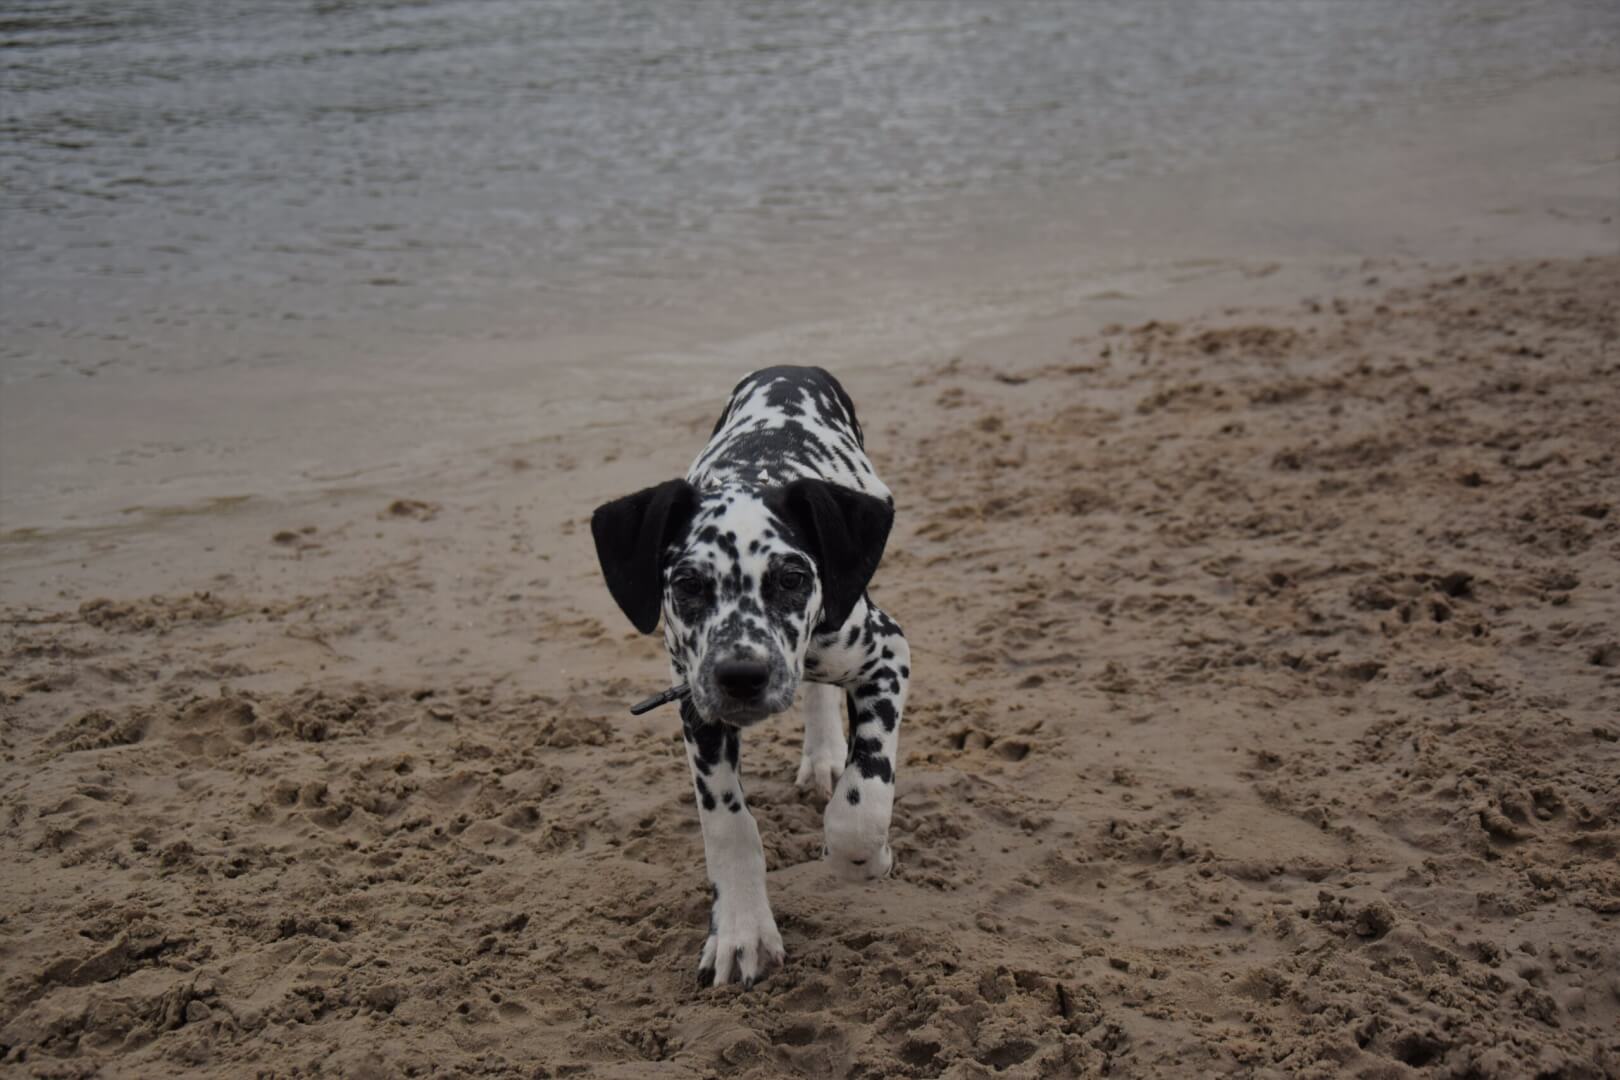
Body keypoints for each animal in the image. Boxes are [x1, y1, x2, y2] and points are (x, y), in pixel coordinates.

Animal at [592, 369, 913, 990]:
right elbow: (729, 825)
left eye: (792, 577)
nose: (742, 675)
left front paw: (866, 858)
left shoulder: (888, 655)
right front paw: (742, 930)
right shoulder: (696, 706)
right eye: (688, 584)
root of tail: (790, 369)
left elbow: (863, 804)